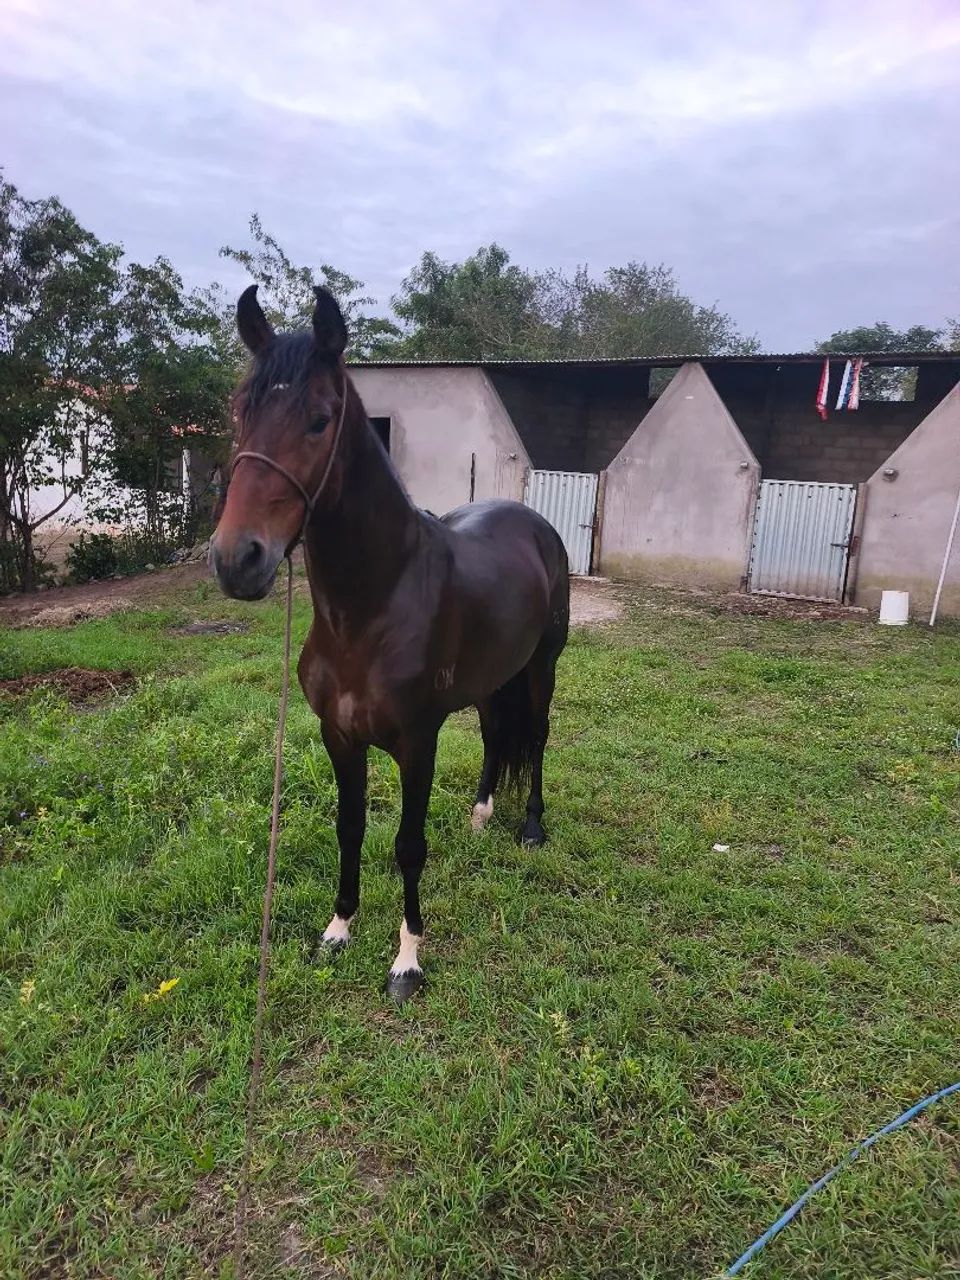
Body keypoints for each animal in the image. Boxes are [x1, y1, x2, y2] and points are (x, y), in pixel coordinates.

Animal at [209, 285, 569, 1001]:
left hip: (543, 664)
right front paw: (338, 930)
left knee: (536, 736)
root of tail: (533, 521)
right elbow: (349, 830)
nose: (238, 560)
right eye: (242, 413)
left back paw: (530, 825)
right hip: (492, 676)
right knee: (496, 732)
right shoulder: (338, 736)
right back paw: (482, 814)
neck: (368, 611)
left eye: (319, 420)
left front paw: (407, 959)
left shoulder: (415, 742)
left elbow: (408, 844)